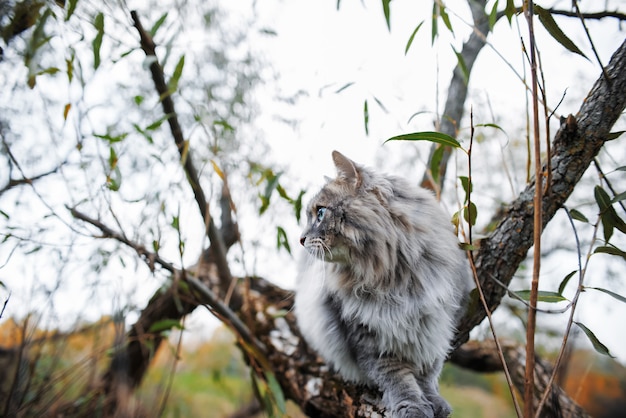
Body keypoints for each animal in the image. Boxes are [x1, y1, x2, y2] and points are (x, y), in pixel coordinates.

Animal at [294, 151, 470, 418]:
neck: (395, 278)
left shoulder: (437, 326)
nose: (301, 239)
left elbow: (428, 372)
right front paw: (413, 407)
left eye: (321, 213)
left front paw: (434, 401)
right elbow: (398, 379)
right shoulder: (370, 339)